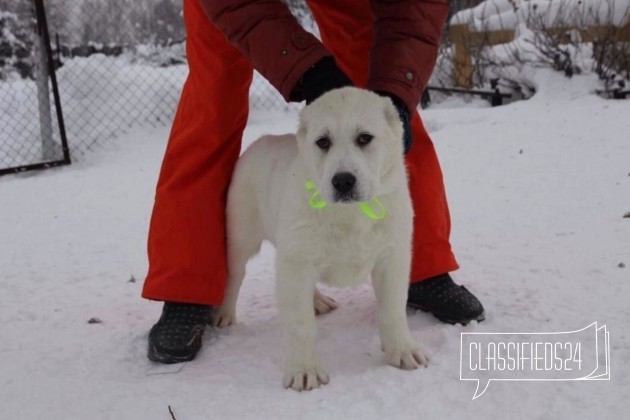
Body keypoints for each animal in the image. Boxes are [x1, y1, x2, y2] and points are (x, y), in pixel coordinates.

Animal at [214, 87, 430, 392]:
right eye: (323, 142)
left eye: (364, 138)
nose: (343, 181)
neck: (350, 214)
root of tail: (260, 141)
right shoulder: (296, 263)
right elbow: (300, 323)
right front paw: (304, 371)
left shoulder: (393, 258)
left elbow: (393, 308)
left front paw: (402, 350)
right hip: (242, 236)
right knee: (234, 275)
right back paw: (224, 313)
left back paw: (316, 300)